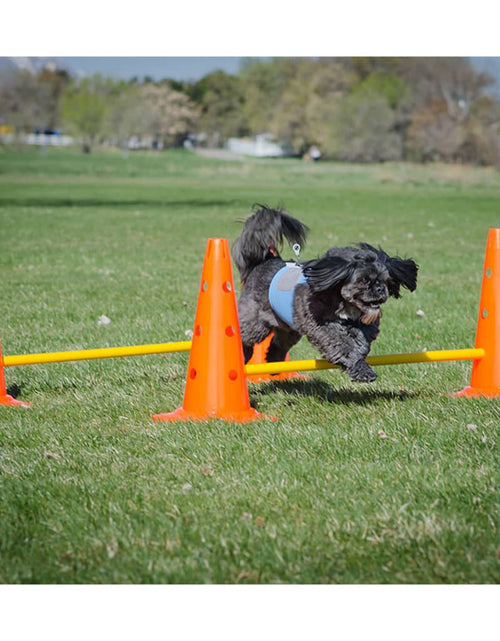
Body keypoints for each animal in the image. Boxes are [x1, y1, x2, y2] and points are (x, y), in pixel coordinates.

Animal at [233, 208, 418, 382]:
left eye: (385, 280)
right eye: (364, 280)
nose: (380, 289)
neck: (342, 301)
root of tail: (266, 260)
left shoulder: (366, 323)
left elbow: (362, 339)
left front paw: (358, 352)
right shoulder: (321, 327)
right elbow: (342, 345)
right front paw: (362, 369)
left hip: (289, 327)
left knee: (278, 344)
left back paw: (274, 363)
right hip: (256, 323)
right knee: (245, 337)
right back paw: (242, 356)